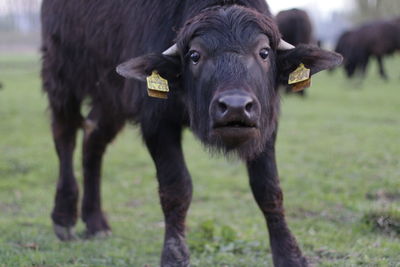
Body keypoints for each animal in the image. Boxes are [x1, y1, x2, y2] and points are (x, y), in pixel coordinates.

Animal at [39, 1, 340, 266]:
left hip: (109, 96)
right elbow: (177, 188)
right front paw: (174, 256)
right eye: (195, 55)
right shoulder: (156, 122)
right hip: (62, 76)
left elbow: (268, 188)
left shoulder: (266, 124)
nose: (235, 107)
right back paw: (63, 217)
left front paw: (291, 256)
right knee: (64, 136)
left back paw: (96, 222)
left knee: (93, 139)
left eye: (264, 52)